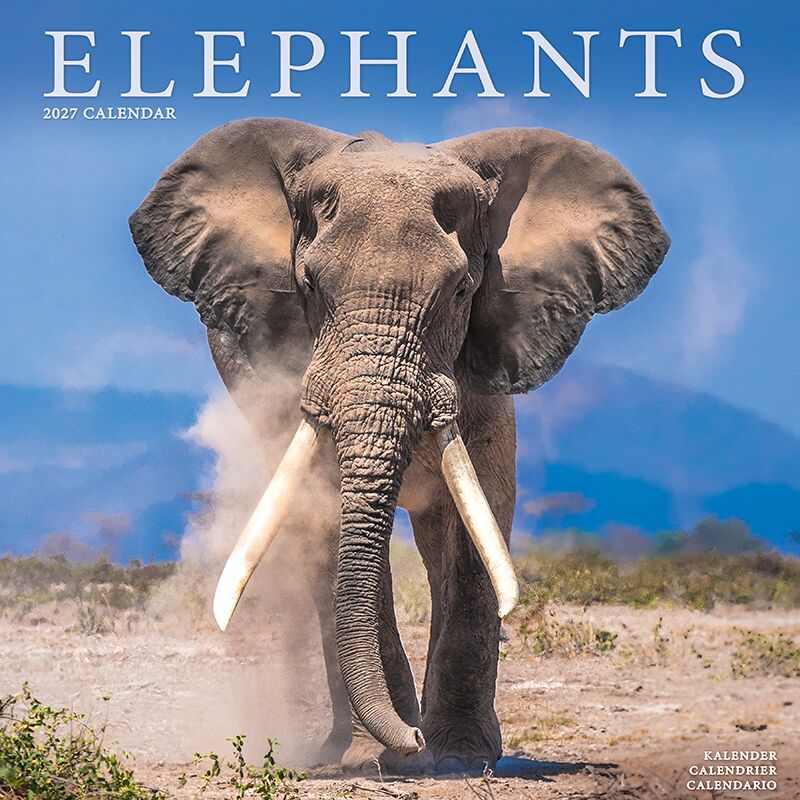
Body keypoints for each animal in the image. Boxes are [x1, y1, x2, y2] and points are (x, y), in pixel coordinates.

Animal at [129, 118, 669, 774]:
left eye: (462, 290)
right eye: (309, 286)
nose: (410, 741)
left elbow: (478, 520)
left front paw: (459, 758)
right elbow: (333, 522)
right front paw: (379, 758)